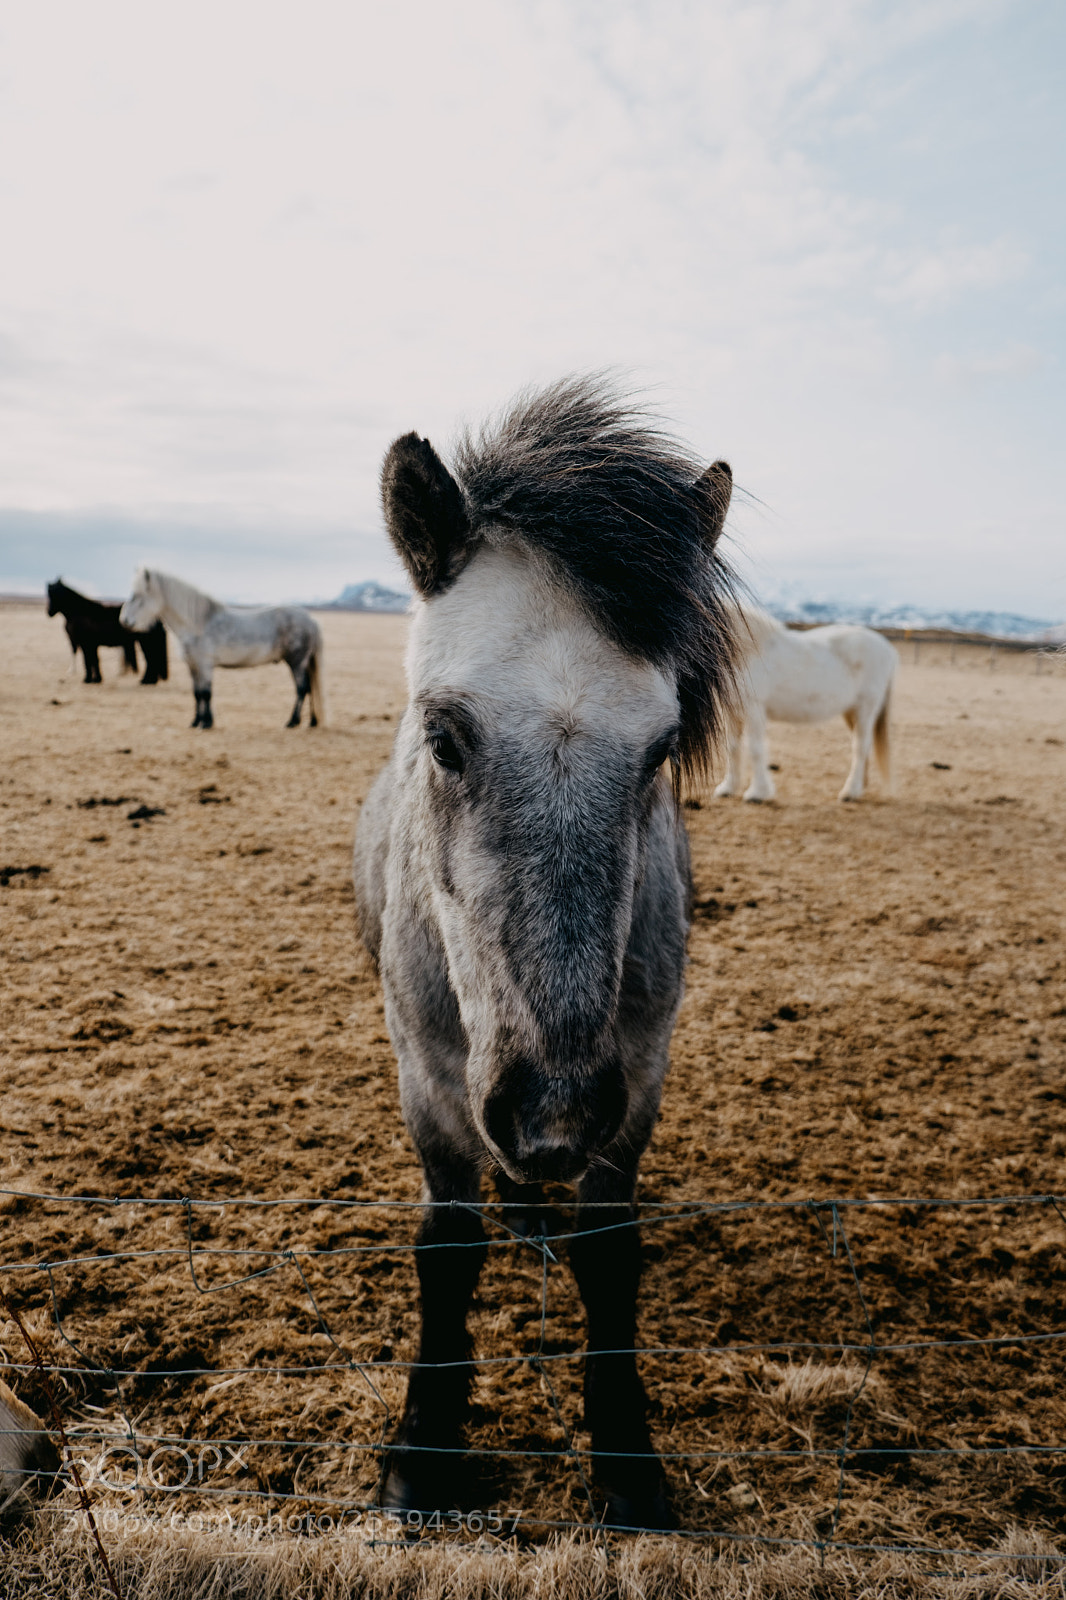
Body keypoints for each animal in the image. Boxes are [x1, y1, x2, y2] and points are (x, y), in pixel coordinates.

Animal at [119, 569, 325, 730]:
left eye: (137, 596)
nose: (125, 621)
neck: (198, 624)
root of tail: (311, 620)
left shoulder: (205, 665)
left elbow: (206, 693)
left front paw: (207, 723)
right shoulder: (193, 666)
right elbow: (197, 694)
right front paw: (195, 722)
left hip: (296, 662)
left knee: (302, 689)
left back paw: (293, 722)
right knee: (309, 689)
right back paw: (312, 722)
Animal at [353, 377, 738, 1530]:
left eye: (661, 750)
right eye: (442, 738)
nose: (552, 1115)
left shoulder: (637, 1080)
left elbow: (610, 1255)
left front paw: (627, 1464)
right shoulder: (429, 1081)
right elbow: (447, 1248)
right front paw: (423, 1453)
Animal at [713, 604, 896, 803]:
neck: (750, 651)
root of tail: (888, 650)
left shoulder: (754, 709)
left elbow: (755, 748)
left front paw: (758, 793)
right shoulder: (732, 711)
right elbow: (733, 747)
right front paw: (728, 788)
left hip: (866, 708)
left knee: (860, 746)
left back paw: (850, 791)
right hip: (851, 711)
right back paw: (860, 787)